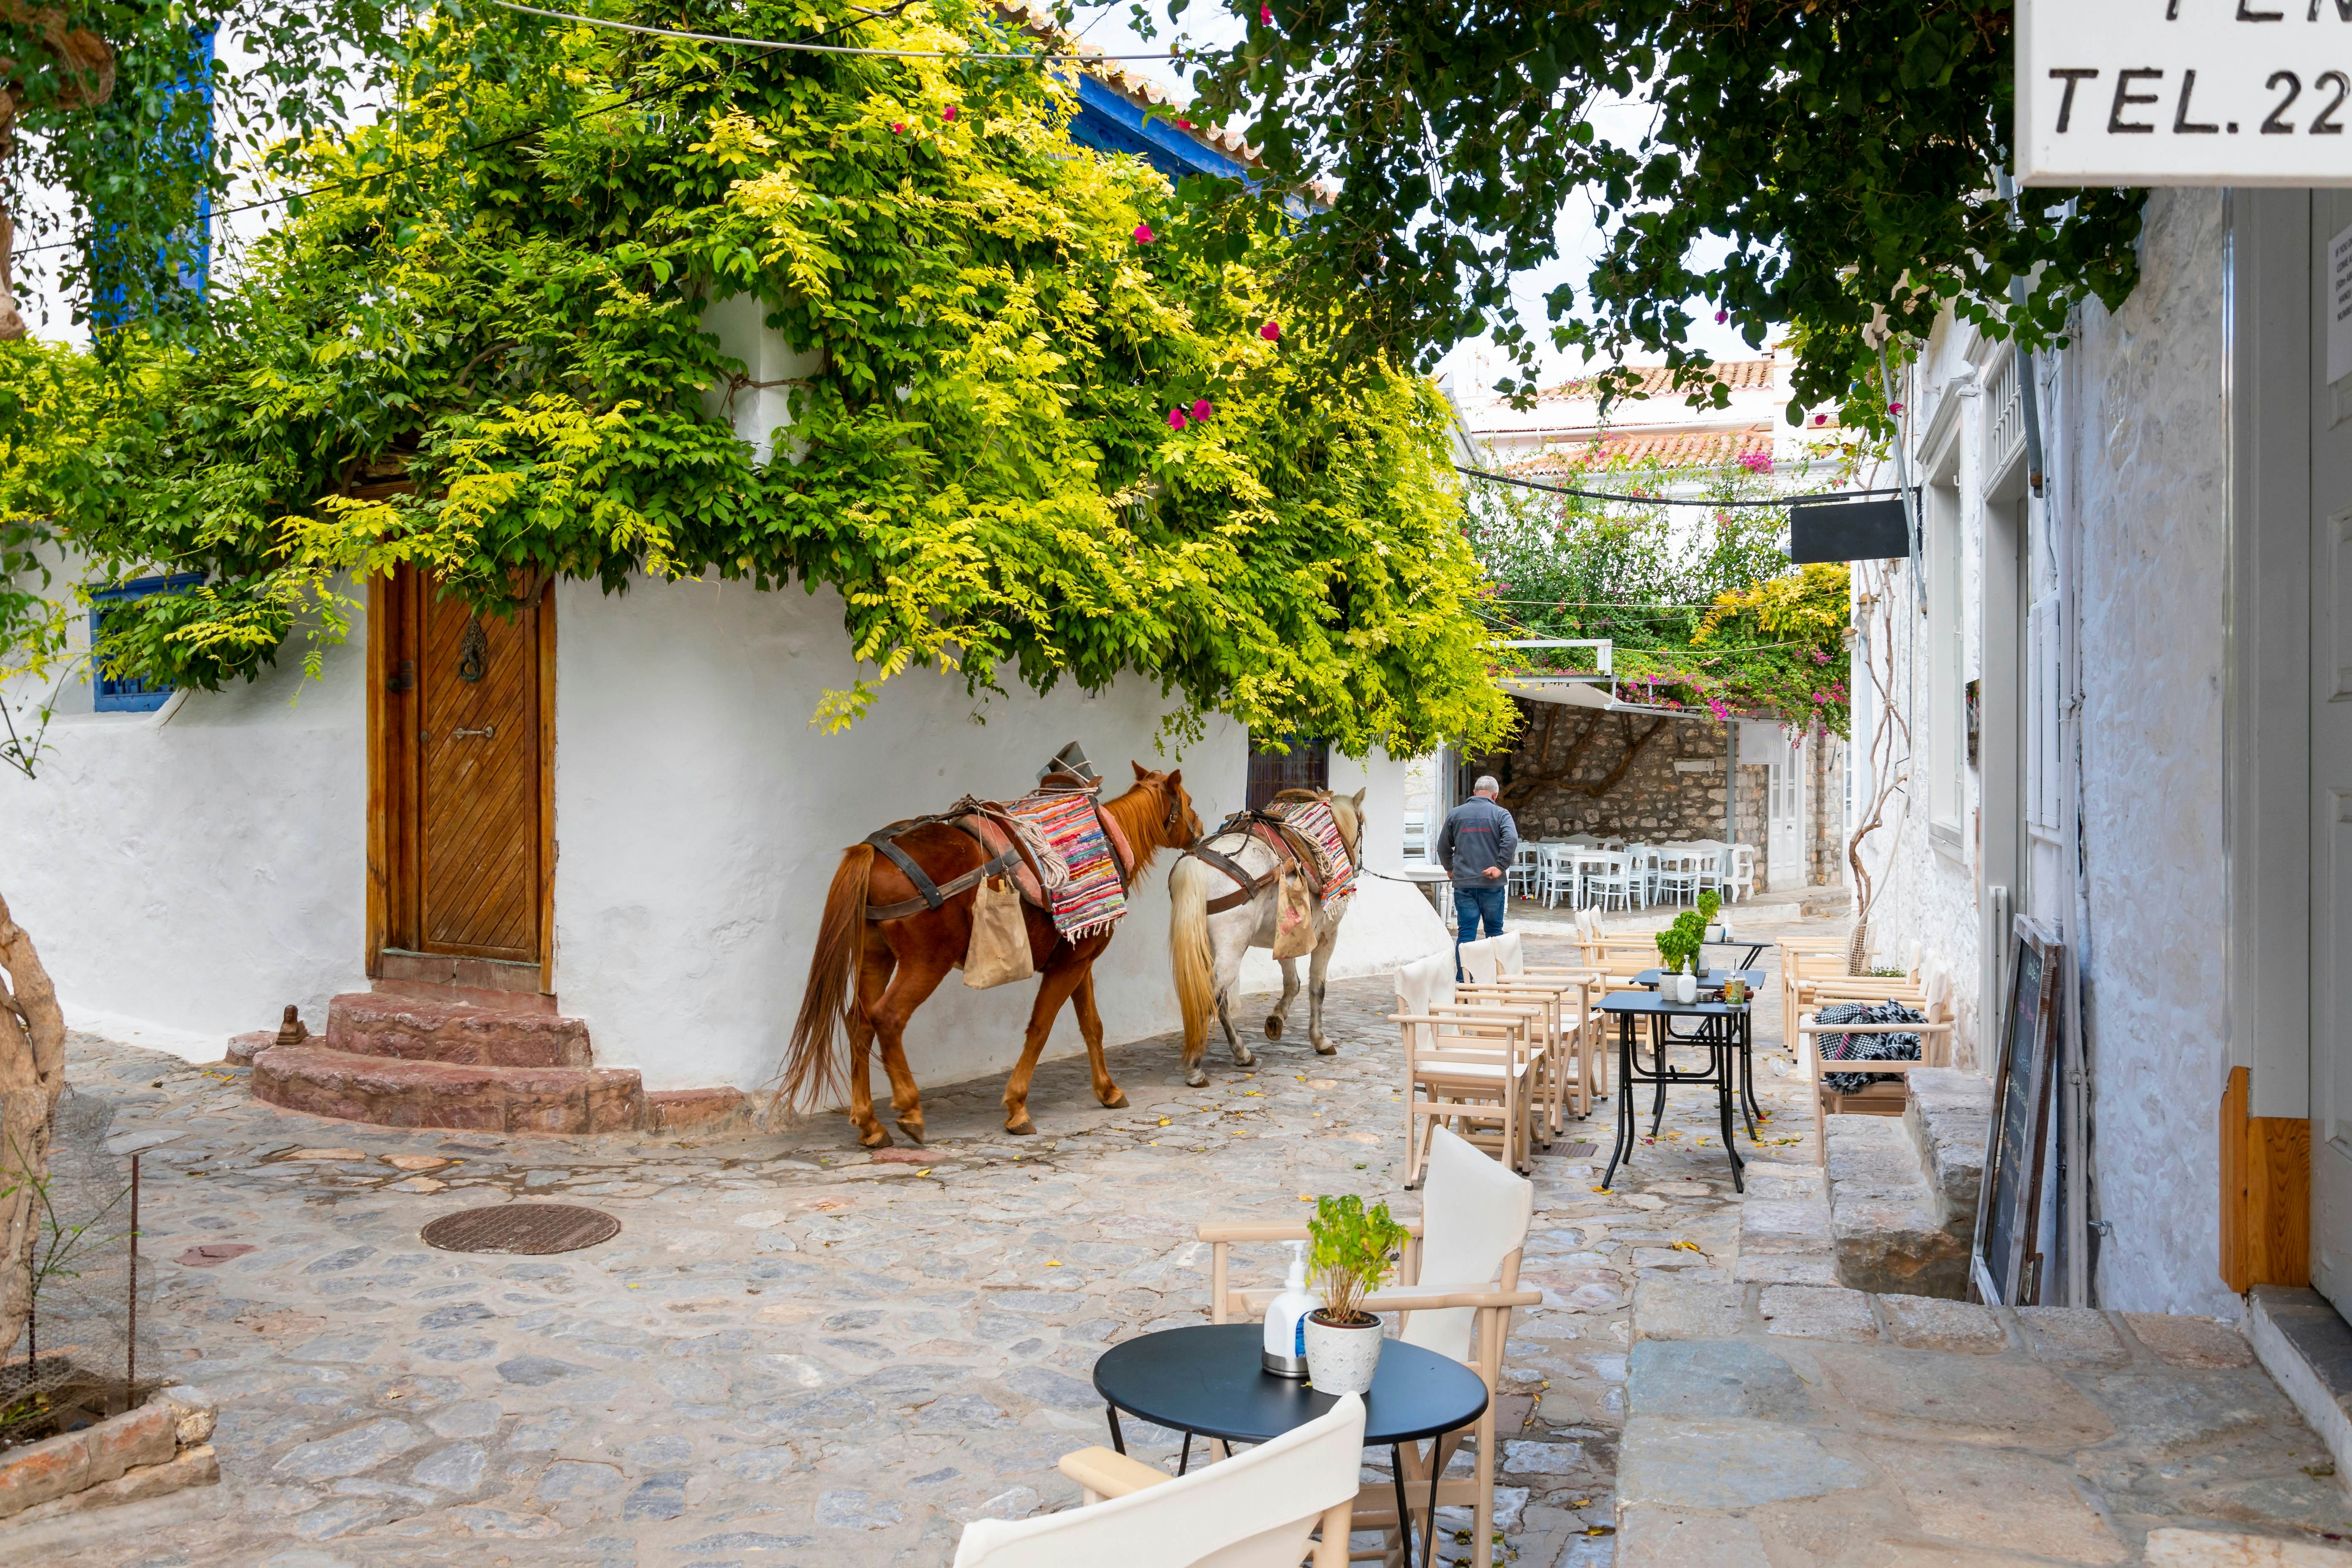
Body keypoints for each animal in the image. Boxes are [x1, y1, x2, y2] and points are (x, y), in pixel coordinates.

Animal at [785, 764, 1201, 1146]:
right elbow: (1040, 1029)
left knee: (859, 1022)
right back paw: (910, 1110)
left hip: (876, 957)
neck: (1108, 839)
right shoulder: (1069, 967)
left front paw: (1108, 1091)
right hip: (926, 964)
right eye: (1189, 801)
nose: (1199, 831)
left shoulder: (1078, 963)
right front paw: (1017, 1108)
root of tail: (875, 853)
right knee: (888, 1018)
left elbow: (1092, 1027)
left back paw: (870, 1124)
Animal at [1165, 787, 1364, 1086]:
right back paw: (1196, 1069)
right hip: (1232, 948)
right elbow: (1317, 988)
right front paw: (1320, 1040)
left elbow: (1292, 983)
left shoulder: (1289, 934)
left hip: (1204, 946)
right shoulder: (1328, 935)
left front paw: (1276, 1020)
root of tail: (1197, 865)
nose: (1359, 864)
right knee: (1213, 996)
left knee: (1217, 999)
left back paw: (1241, 1054)